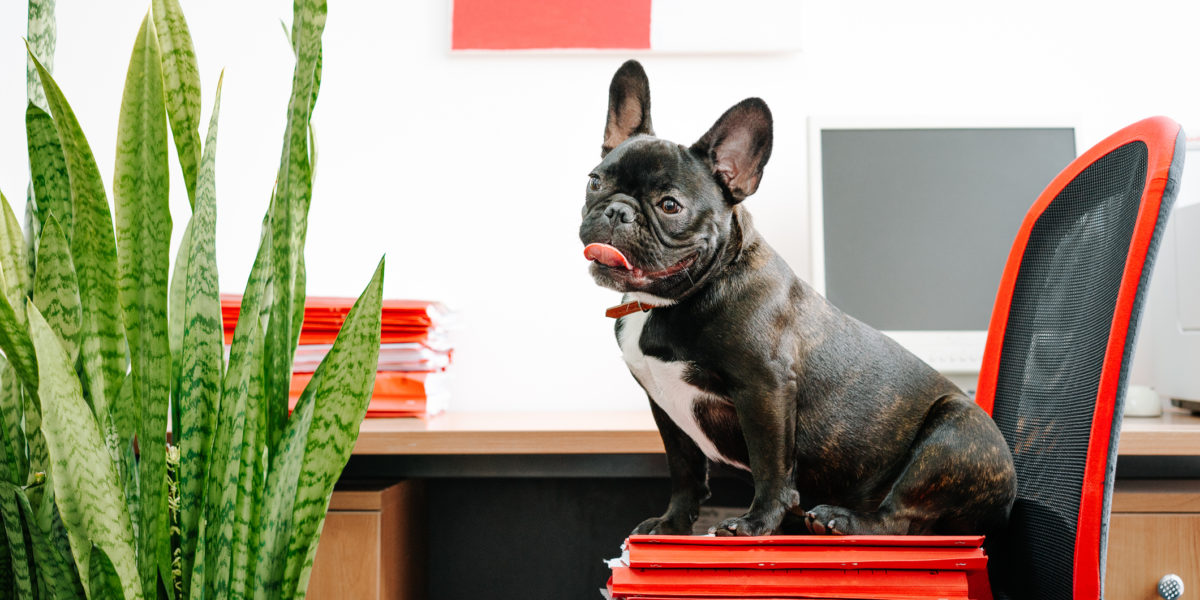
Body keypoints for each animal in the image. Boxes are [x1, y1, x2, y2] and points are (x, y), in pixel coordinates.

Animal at [578, 62, 1012, 540]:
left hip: (953, 434)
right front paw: (672, 524)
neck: (668, 302)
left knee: (899, 515)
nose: (617, 210)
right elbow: (685, 471)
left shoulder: (764, 388)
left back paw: (841, 520)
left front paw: (754, 524)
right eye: (594, 181)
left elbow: (771, 466)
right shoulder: (665, 409)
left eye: (670, 205)